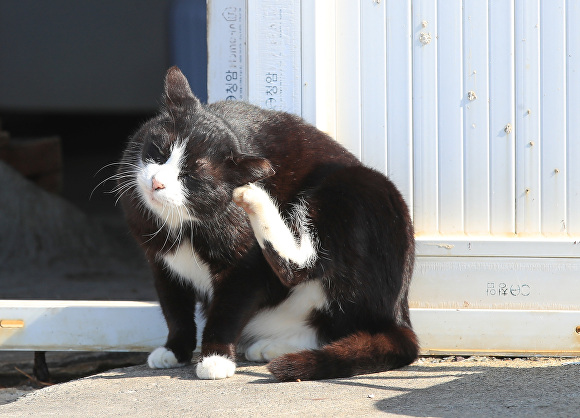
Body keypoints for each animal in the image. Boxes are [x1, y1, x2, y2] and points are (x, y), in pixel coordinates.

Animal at [116, 66, 416, 382]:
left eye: (191, 175)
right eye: (160, 151)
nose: (157, 182)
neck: (183, 224)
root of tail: (398, 313)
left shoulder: (244, 267)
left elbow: (227, 310)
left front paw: (215, 358)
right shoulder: (162, 264)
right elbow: (174, 310)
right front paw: (174, 350)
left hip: (355, 185)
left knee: (301, 271)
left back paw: (255, 197)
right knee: (329, 328)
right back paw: (271, 347)